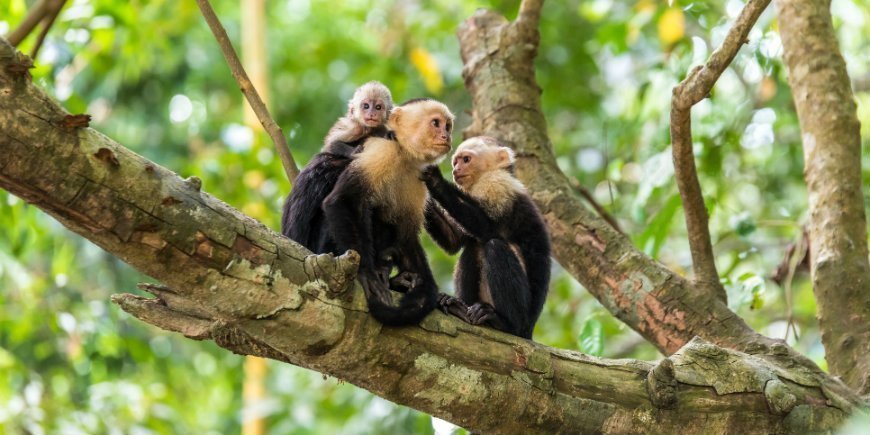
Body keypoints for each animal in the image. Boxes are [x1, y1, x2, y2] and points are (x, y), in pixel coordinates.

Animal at [322, 97, 456, 326]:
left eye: (447, 126)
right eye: (436, 123)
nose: (446, 136)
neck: (403, 154)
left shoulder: (419, 178)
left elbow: (406, 234)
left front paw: (426, 290)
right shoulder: (381, 152)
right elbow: (342, 201)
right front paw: (366, 273)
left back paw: (398, 279)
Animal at [422, 137, 552, 340]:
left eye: (466, 160)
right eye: (455, 162)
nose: (455, 170)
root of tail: (529, 331)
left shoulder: (497, 184)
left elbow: (486, 227)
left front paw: (434, 180)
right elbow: (455, 241)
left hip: (523, 318)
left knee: (494, 245)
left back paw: (504, 323)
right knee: (473, 248)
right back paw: (459, 307)